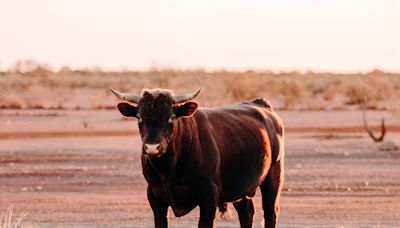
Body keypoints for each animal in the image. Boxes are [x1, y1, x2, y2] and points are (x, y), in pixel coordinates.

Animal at [110, 87, 284, 228]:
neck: (168, 171)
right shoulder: (155, 198)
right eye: (139, 117)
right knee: (247, 213)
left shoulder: (209, 196)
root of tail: (261, 104)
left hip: (274, 176)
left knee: (270, 213)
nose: (152, 147)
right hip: (241, 188)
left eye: (171, 117)